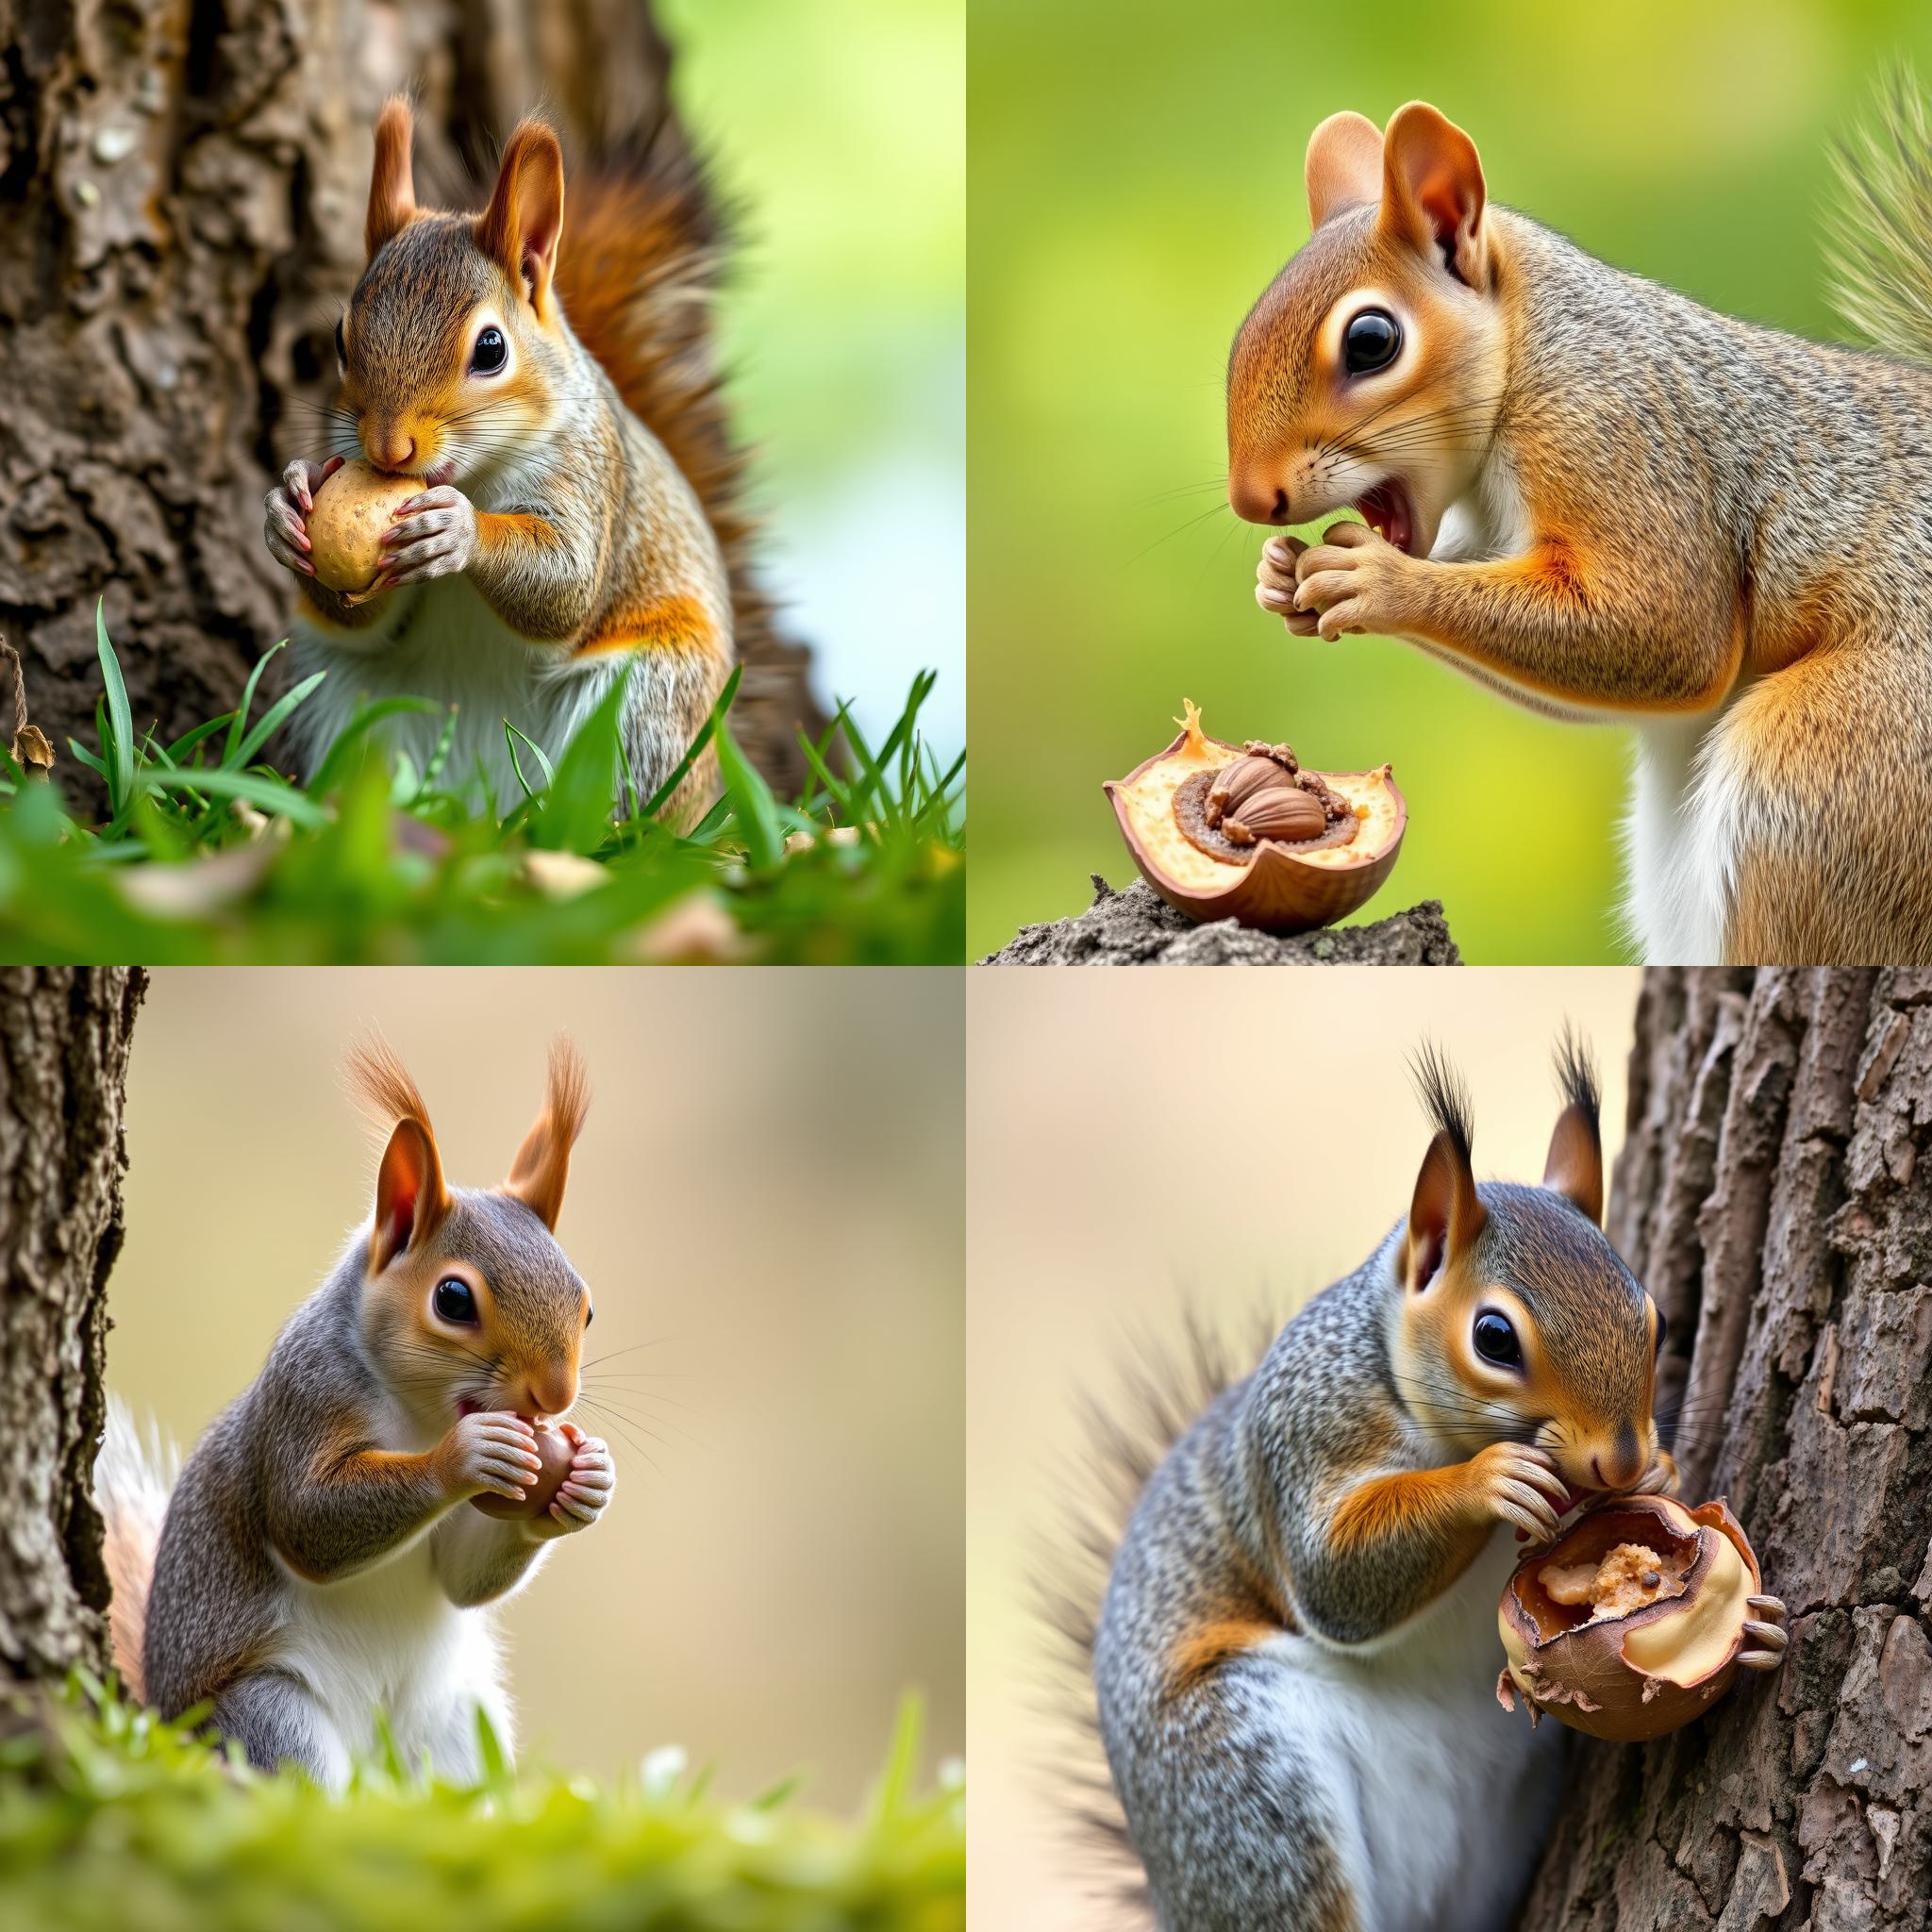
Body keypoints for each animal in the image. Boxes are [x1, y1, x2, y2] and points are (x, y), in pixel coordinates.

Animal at [93, 1035, 614, 1785]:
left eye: (587, 1306)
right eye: (453, 1299)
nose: (556, 1397)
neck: (421, 1414)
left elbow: (462, 1581)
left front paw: (588, 1480)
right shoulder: (301, 1398)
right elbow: (308, 1517)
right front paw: (466, 1457)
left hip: (456, 1727)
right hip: (271, 1717)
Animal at [260, 97, 734, 823]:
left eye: (490, 349)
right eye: (340, 340)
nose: (387, 449)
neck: (477, 476)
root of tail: (479, 802)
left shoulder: (589, 474)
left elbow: (567, 584)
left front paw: (456, 532)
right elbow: (360, 612)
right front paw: (287, 511)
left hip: (647, 702)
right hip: (344, 698)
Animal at [1081, 1042, 1785, 1932]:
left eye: (1655, 1322)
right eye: (1494, 1338)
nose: (1622, 1465)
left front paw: (1691, 1511)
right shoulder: (1303, 1432)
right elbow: (1332, 1575)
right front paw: (1492, 1481)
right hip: (1249, 1794)